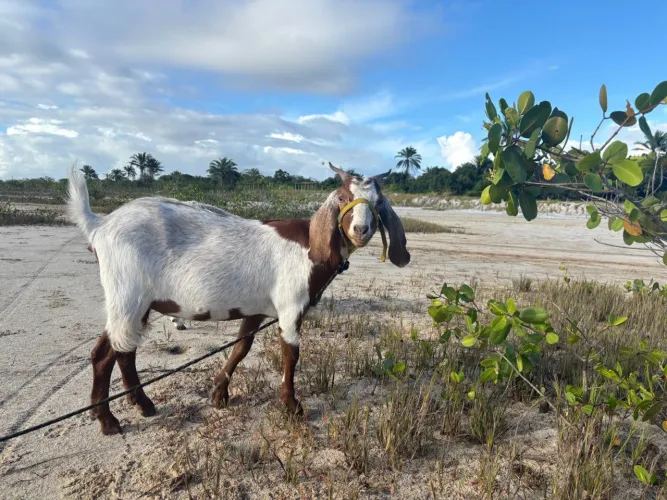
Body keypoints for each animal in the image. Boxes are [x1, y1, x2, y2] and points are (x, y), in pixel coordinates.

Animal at [67, 162, 410, 435]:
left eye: (379, 202)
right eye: (342, 198)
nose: (360, 229)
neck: (310, 244)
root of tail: (99, 225)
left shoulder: (256, 308)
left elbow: (241, 347)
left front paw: (219, 393)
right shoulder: (290, 305)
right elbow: (290, 354)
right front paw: (292, 406)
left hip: (137, 302)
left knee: (121, 350)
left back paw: (139, 405)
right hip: (127, 293)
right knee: (106, 354)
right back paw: (108, 420)